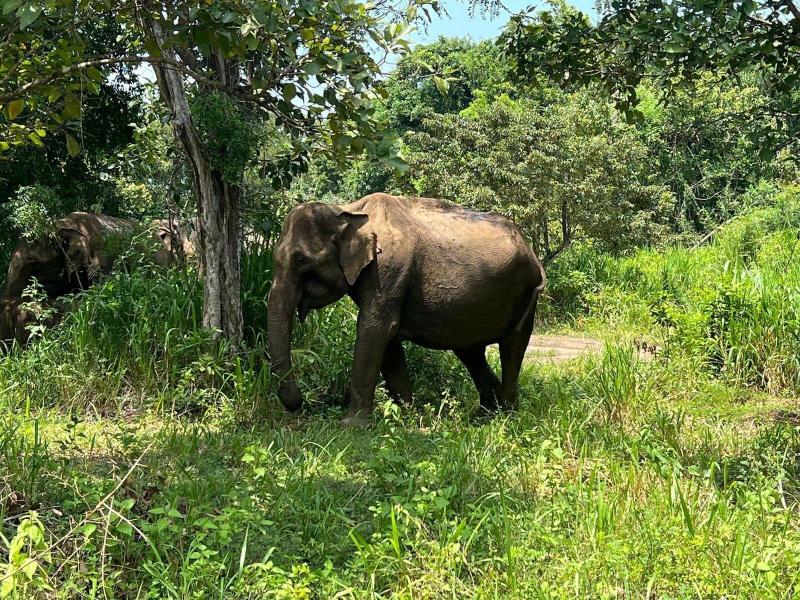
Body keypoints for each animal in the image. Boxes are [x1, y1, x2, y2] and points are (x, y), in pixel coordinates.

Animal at [267, 193, 546, 426]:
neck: (349, 210)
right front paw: (408, 416)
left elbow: (374, 328)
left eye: (300, 259)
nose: (301, 403)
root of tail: (532, 252)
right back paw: (484, 415)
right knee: (470, 352)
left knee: (511, 347)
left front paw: (351, 426)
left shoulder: (389, 268)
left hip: (526, 294)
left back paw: (507, 415)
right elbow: (386, 340)